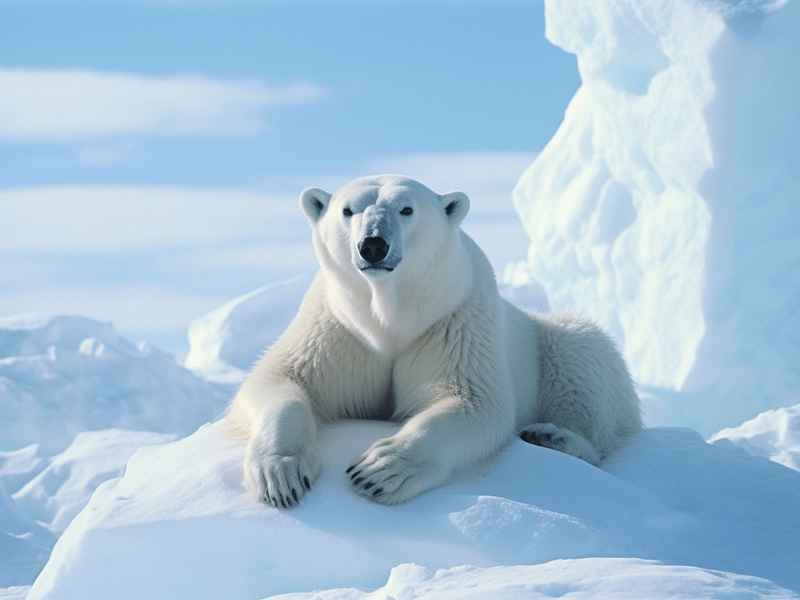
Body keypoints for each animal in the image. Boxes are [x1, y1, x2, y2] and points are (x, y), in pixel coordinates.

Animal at [228, 175, 642, 508]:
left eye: (407, 209)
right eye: (347, 210)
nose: (373, 245)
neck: (390, 316)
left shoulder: (454, 322)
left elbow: (473, 402)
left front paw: (379, 469)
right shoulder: (338, 327)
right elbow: (281, 377)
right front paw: (280, 475)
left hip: (560, 345)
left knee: (585, 369)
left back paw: (553, 436)